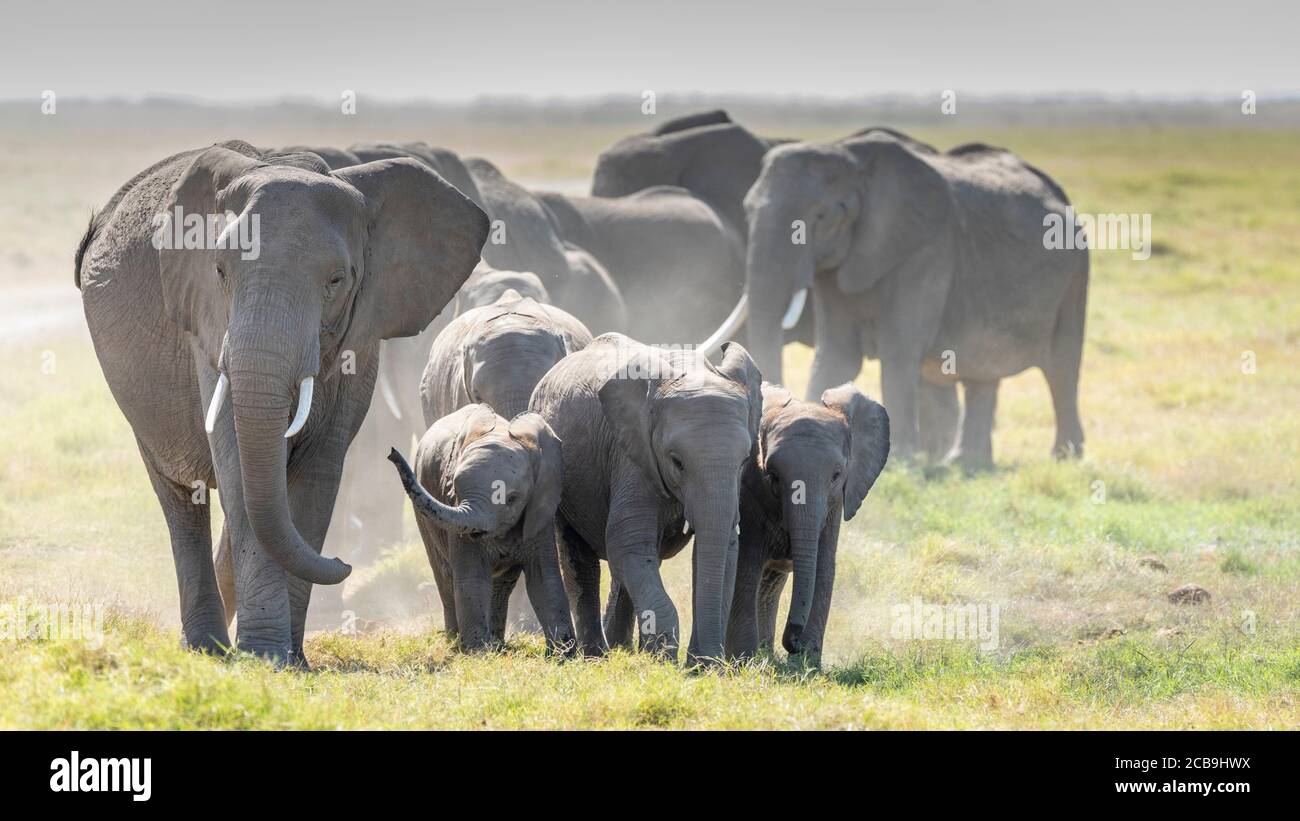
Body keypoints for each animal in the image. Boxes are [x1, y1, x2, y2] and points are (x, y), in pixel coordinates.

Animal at [77, 140, 491, 665]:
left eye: (336, 280)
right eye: (219, 271)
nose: (343, 561)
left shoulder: (362, 334)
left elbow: (317, 474)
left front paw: (288, 659)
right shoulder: (208, 325)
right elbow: (239, 464)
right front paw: (266, 656)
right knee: (181, 496)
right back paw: (206, 648)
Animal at [387, 405, 577, 654]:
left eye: (511, 498)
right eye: (454, 488)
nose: (391, 453)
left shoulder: (539, 510)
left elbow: (544, 577)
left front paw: (564, 654)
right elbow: (472, 577)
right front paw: (477, 652)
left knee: (501, 584)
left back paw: (496, 644)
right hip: (424, 521)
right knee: (445, 576)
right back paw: (456, 641)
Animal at [527, 337, 759, 665]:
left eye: (744, 461)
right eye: (676, 462)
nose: (708, 664)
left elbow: (723, 546)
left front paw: (699, 666)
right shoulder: (632, 455)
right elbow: (627, 541)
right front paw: (663, 659)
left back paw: (620, 649)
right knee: (581, 560)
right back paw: (598, 656)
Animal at [702, 129, 1086, 467]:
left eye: (822, 216)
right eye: (747, 211)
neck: (854, 163)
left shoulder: (927, 250)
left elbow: (898, 352)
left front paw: (901, 461)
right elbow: (837, 352)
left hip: (1076, 275)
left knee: (1063, 367)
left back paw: (1065, 459)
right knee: (983, 370)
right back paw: (967, 464)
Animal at [728, 381, 889, 665]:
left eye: (836, 475)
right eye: (773, 475)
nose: (793, 643)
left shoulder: (834, 505)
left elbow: (824, 568)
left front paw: (807, 665)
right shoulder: (749, 492)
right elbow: (746, 565)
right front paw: (742, 663)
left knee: (771, 583)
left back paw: (768, 656)